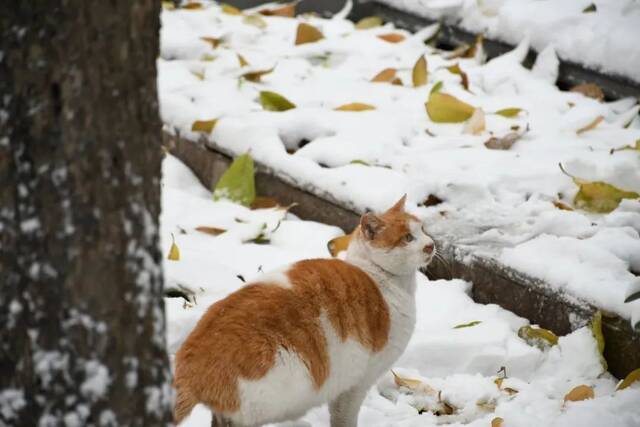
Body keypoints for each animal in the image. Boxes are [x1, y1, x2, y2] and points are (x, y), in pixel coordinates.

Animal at [174, 196, 436, 426]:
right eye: (407, 238)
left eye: (423, 229)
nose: (431, 244)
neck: (378, 276)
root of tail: (189, 366)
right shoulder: (356, 384)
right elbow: (344, 418)